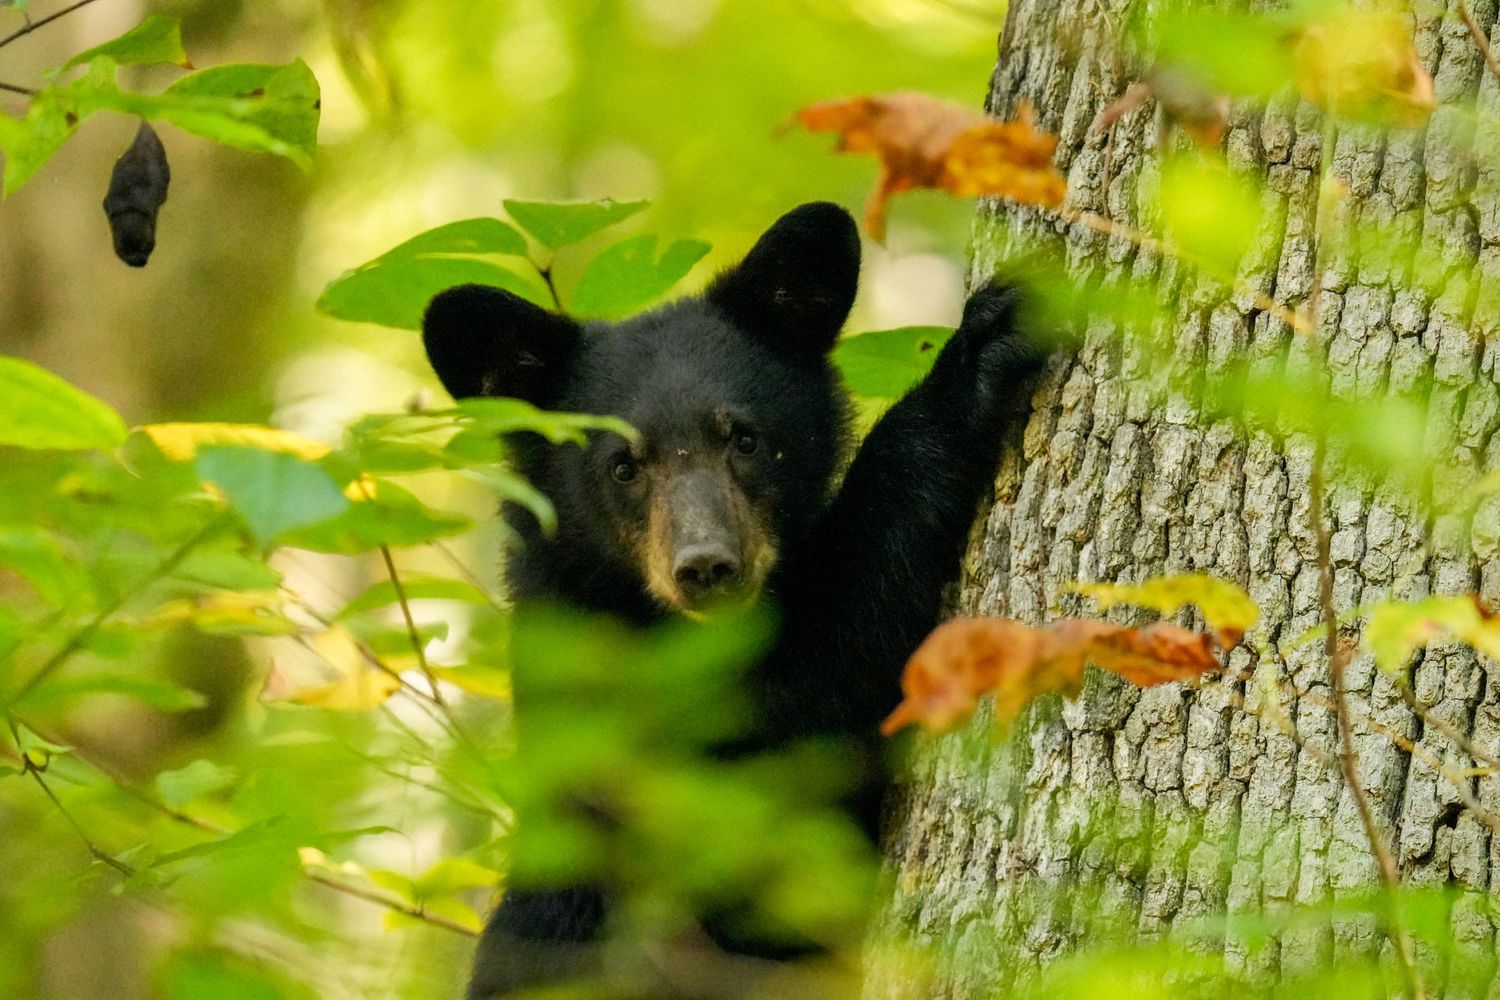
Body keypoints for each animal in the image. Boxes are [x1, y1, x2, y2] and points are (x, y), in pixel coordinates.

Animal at [421, 202, 1049, 999]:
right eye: (623, 466)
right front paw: (975, 355)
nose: (707, 565)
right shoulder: (623, 708)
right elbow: (795, 712)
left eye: (744, 438)